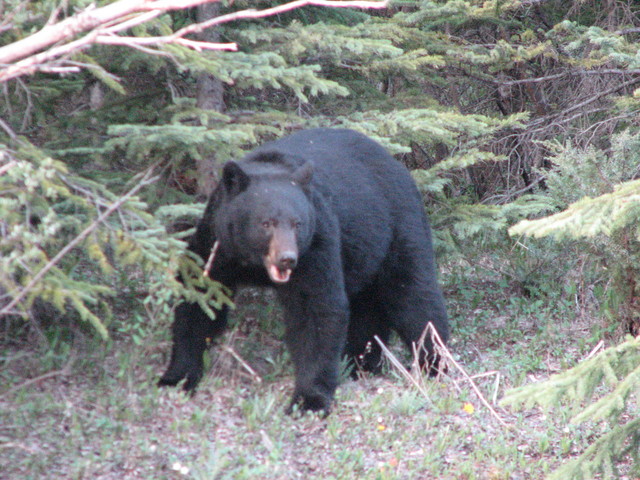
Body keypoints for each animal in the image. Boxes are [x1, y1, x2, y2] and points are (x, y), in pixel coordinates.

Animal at [159, 127, 448, 412]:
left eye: (297, 223)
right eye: (266, 223)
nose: (287, 258)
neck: (253, 263)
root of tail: (397, 163)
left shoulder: (316, 244)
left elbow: (316, 308)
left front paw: (310, 399)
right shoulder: (216, 243)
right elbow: (198, 298)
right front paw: (176, 377)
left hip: (398, 227)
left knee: (413, 297)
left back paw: (435, 363)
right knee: (367, 305)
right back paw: (360, 362)